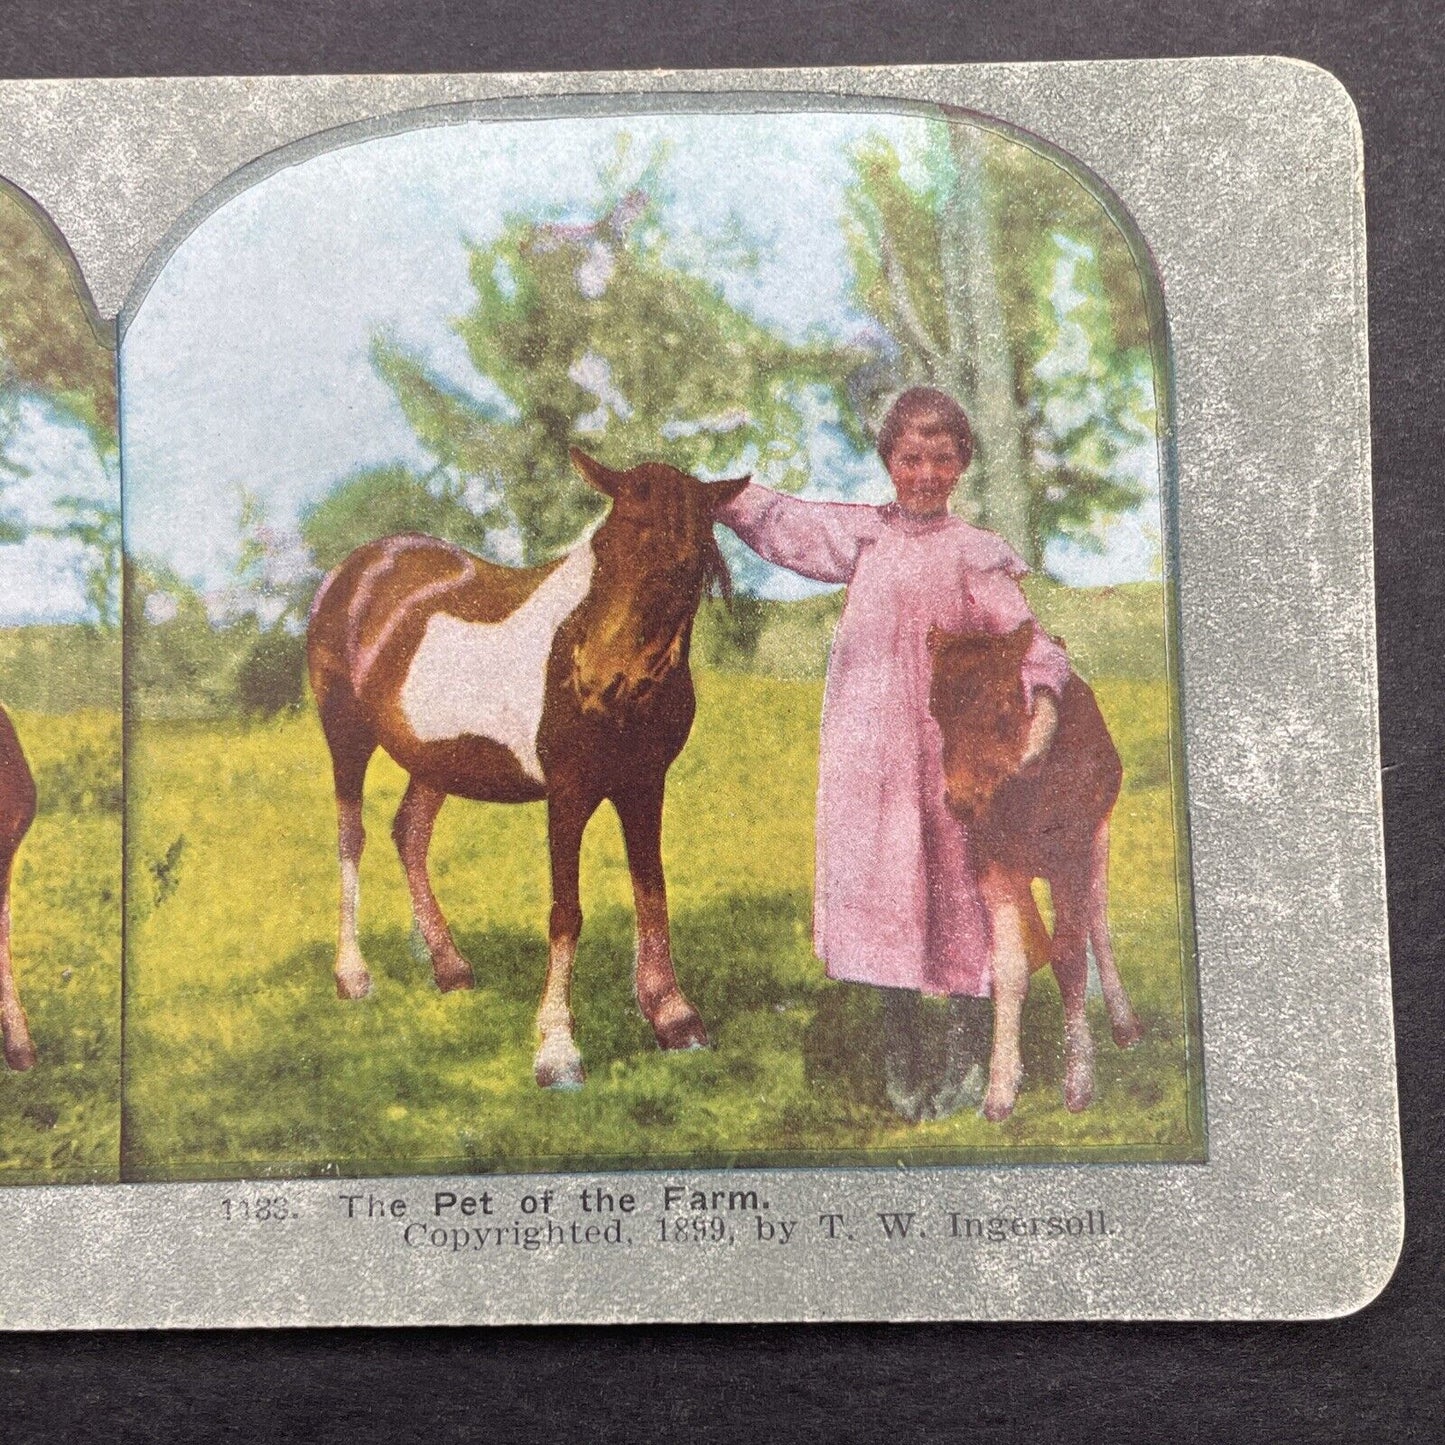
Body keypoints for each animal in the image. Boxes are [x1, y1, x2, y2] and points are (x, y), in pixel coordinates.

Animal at [304, 447, 745, 1086]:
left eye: (686, 565)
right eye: (604, 547)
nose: (594, 681)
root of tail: (359, 567)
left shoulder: (644, 784)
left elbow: (651, 891)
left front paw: (674, 1017)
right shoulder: (568, 790)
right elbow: (566, 912)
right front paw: (557, 1050)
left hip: (435, 760)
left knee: (409, 833)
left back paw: (450, 967)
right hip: (346, 735)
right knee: (351, 838)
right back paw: (353, 975)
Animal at [930, 621, 1144, 1115]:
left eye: (1002, 709)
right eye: (935, 710)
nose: (960, 800)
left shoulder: (1071, 856)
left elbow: (1069, 956)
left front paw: (1079, 1083)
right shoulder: (991, 864)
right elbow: (1008, 969)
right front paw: (999, 1091)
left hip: (1099, 834)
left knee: (1097, 922)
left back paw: (1124, 1024)